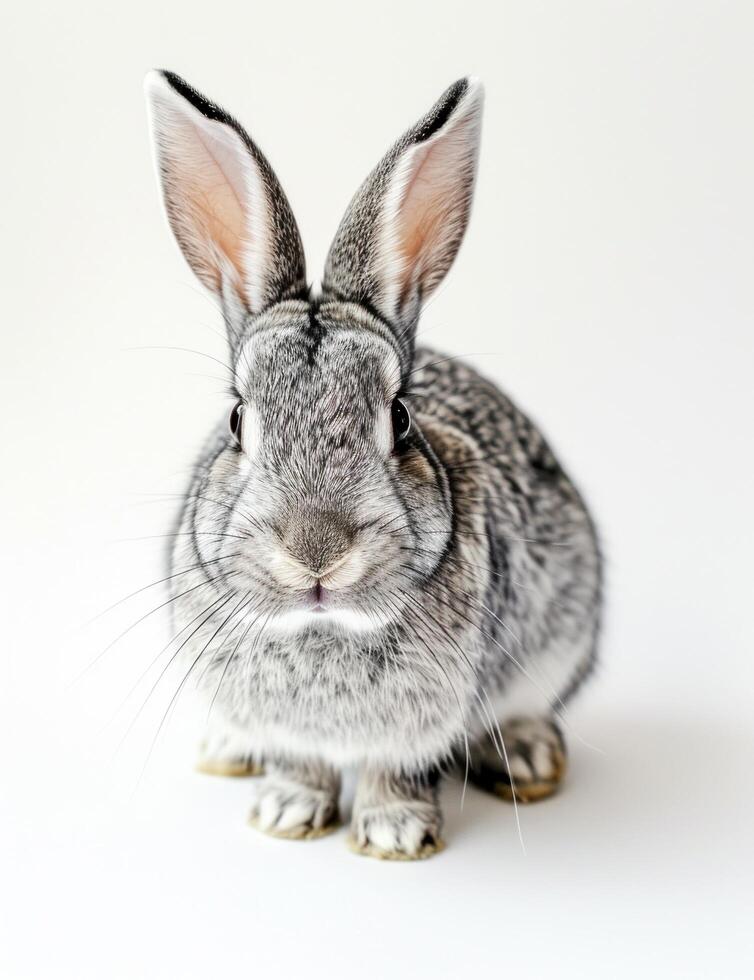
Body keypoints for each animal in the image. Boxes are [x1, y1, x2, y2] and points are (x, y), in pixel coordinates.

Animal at [141, 72, 600, 860]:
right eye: (237, 420)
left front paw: (393, 833)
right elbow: (300, 763)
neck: (324, 628)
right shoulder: (289, 728)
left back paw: (528, 757)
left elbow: (398, 773)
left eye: (400, 418)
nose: (316, 550)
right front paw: (286, 812)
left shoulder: (423, 725)